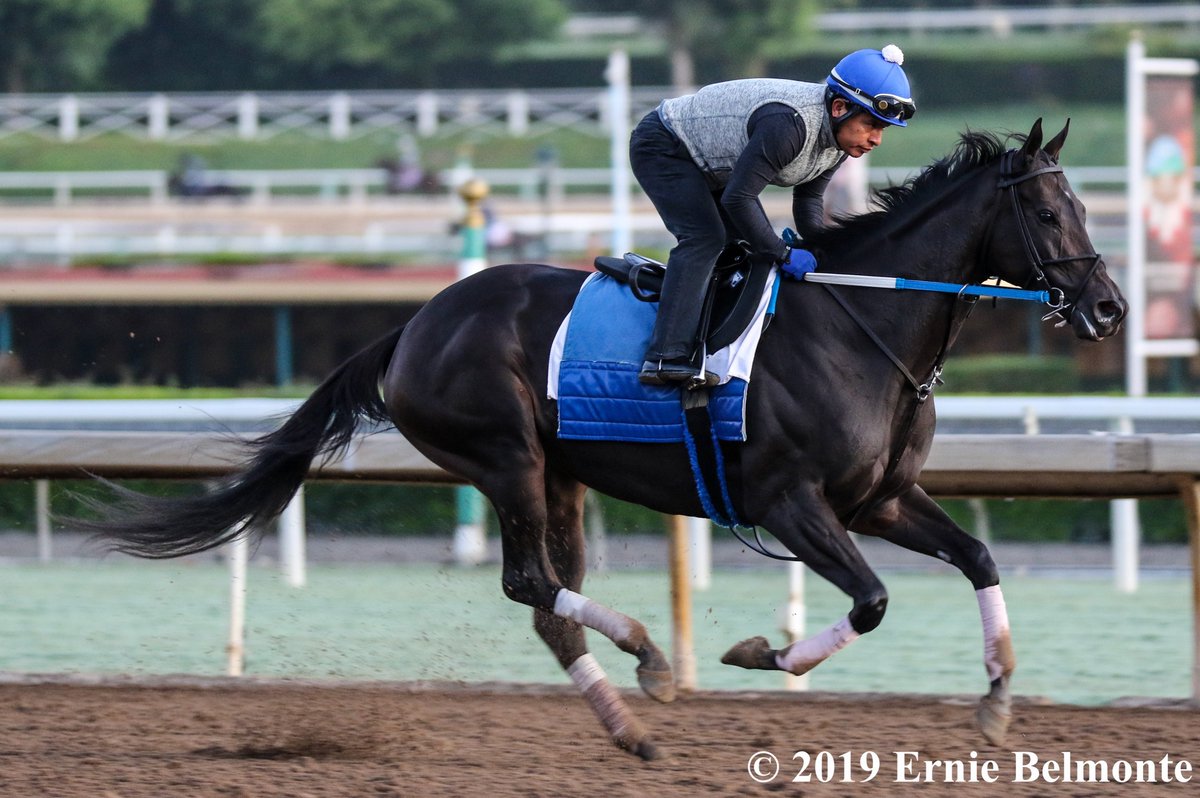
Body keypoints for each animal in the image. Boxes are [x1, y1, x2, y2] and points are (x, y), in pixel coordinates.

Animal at [84, 120, 1123, 758]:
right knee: (529, 584)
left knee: (549, 603)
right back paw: (646, 671)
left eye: (1082, 206)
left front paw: (996, 702)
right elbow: (869, 601)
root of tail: (414, 324)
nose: (1109, 307)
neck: (859, 321)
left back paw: (635, 709)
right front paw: (759, 654)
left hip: (562, 478)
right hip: (505, 458)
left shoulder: (883, 497)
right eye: (1045, 211)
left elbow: (979, 556)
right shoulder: (790, 500)